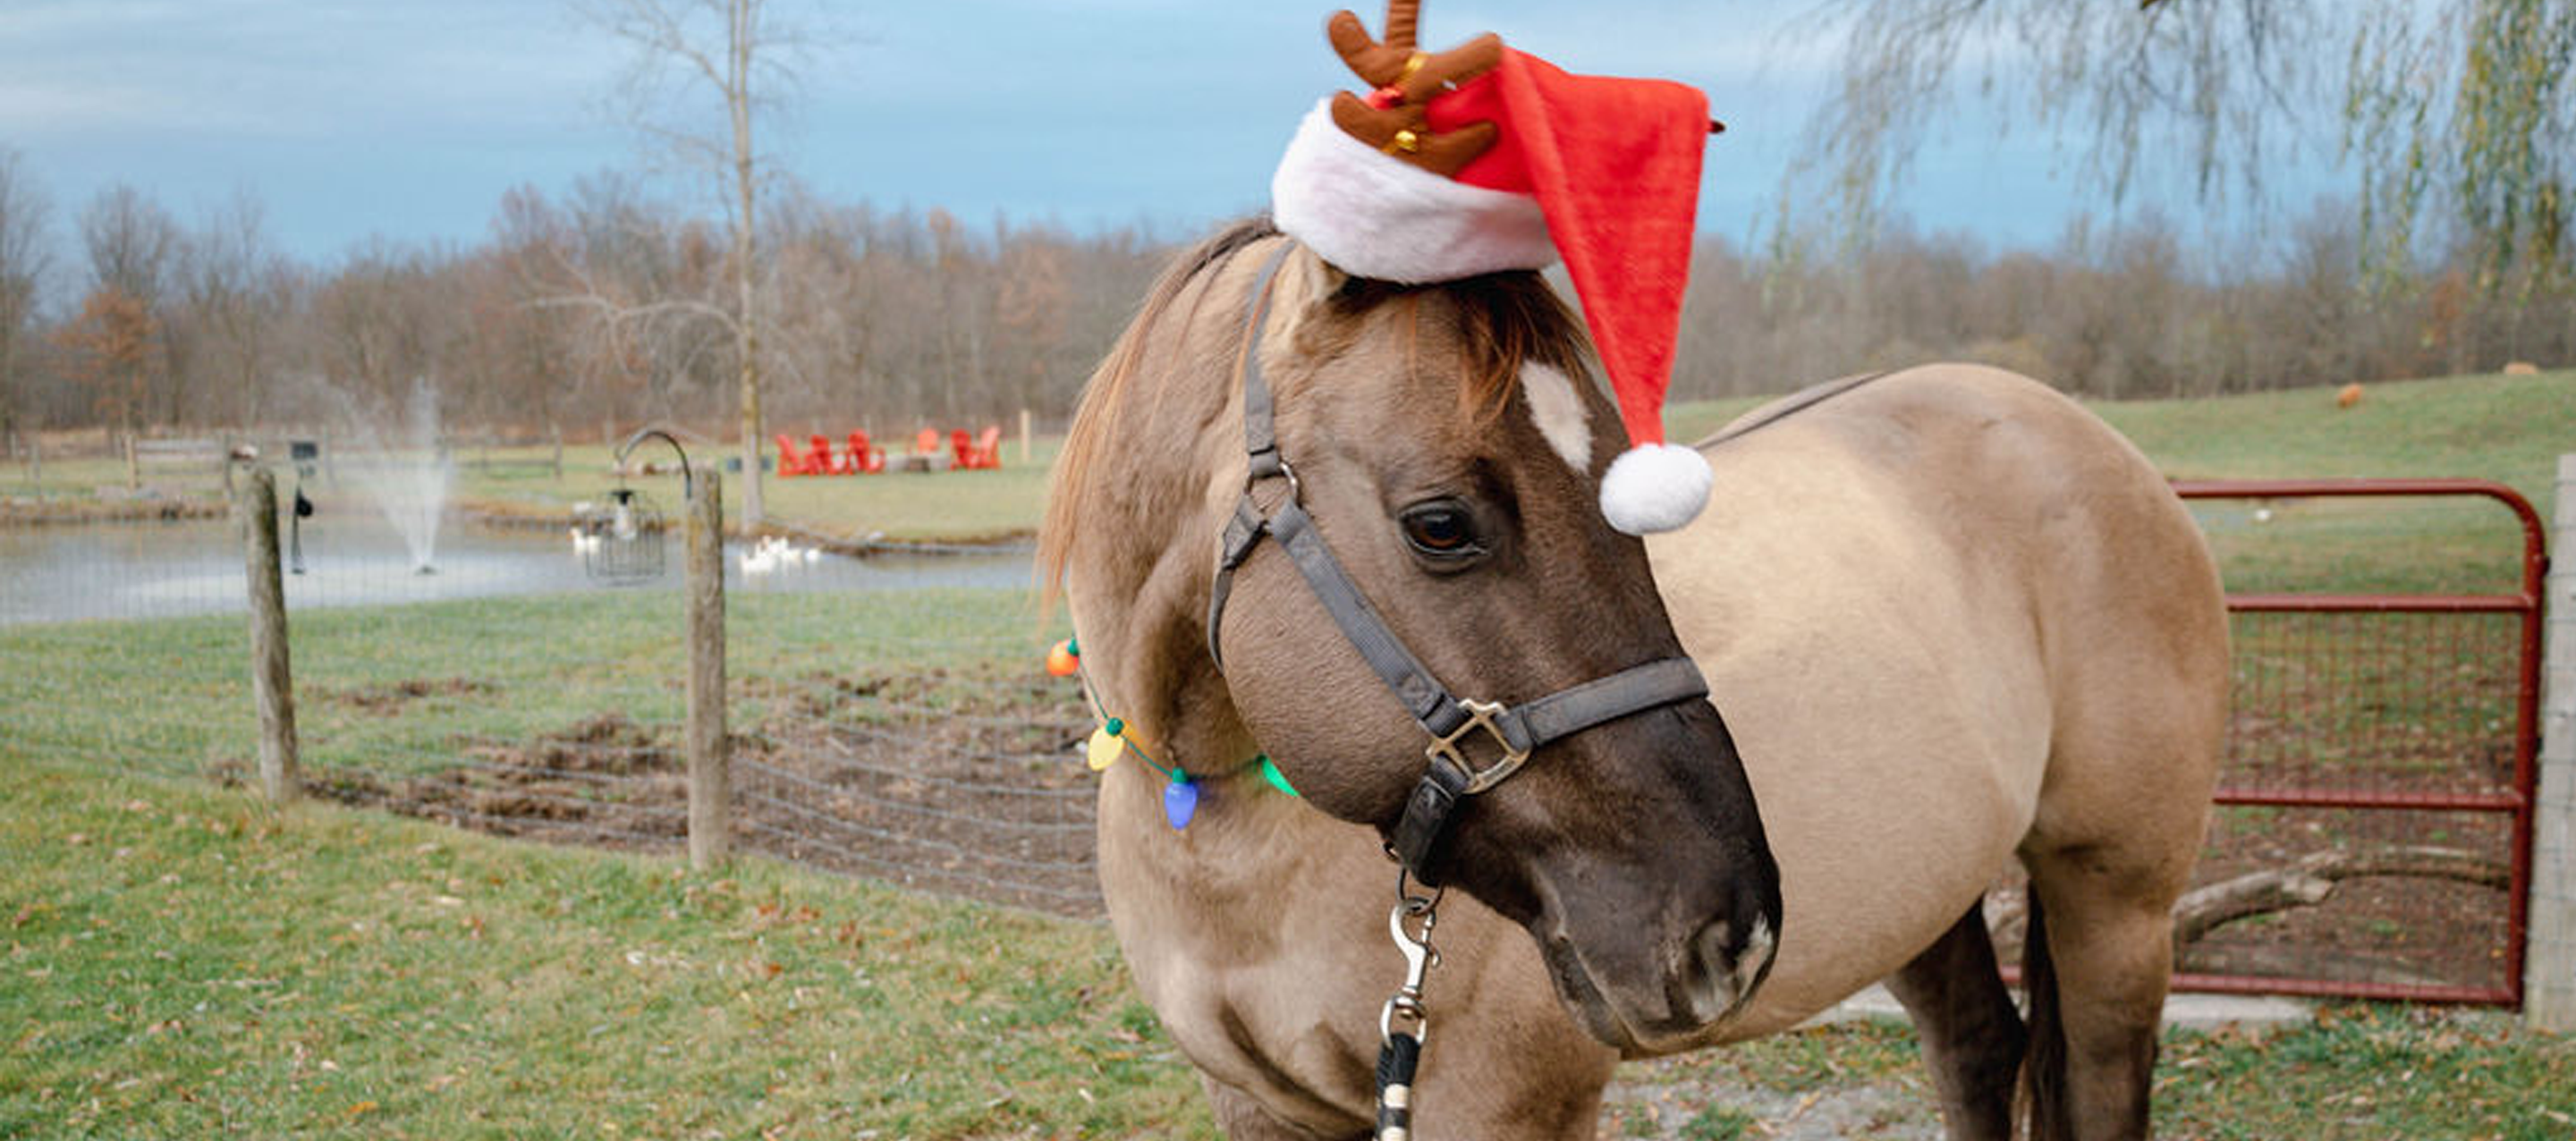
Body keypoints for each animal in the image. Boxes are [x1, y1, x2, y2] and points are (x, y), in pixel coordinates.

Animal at [1035, 218, 2225, 1138]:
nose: (1726, 930)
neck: (1230, 837)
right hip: (1931, 897)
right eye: (1440, 524)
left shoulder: (1501, 1104)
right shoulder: (1257, 1103)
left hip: (2117, 899)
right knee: (1980, 1050)